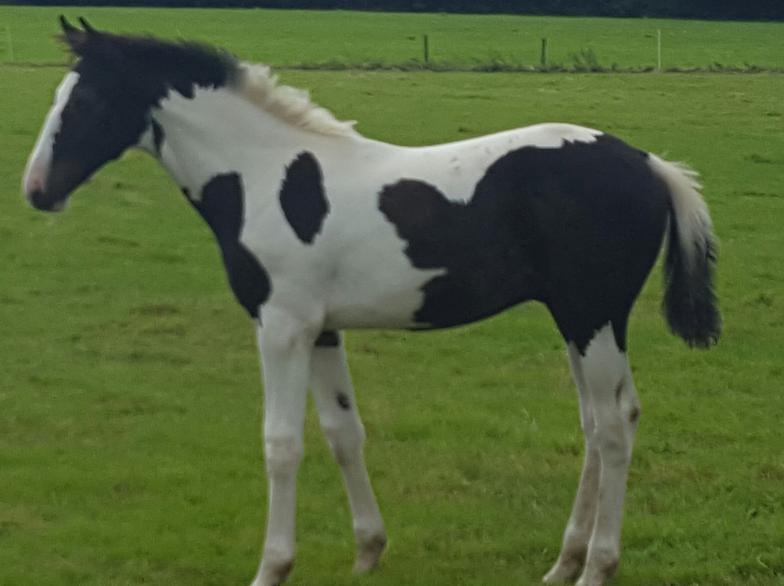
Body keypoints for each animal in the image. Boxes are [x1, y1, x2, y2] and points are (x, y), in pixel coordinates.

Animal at [23, 18, 724, 584]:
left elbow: (281, 443)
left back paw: (597, 568)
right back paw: (564, 562)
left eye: (86, 100)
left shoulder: (280, 328)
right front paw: (367, 551)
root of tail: (649, 163)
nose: (36, 191)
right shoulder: (321, 330)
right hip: (575, 320)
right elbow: (343, 433)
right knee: (600, 422)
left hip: (593, 317)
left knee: (613, 426)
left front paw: (272, 567)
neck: (263, 177)